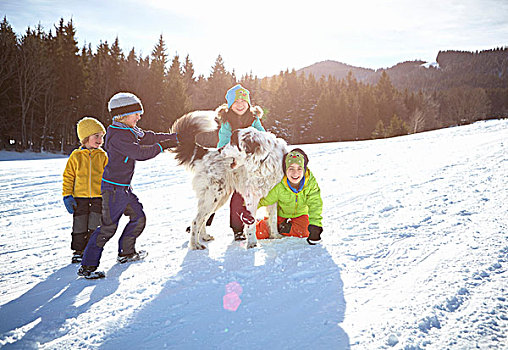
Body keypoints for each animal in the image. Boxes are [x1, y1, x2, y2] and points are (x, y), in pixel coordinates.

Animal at [171, 111, 288, 249]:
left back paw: (204, 237)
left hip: (218, 199)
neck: (264, 160)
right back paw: (195, 245)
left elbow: (273, 218)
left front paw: (275, 235)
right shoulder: (251, 198)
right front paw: (252, 243)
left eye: (233, 142)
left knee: (203, 220)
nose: (220, 150)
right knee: (196, 221)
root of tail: (205, 153)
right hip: (213, 197)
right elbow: (251, 224)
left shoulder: (274, 196)